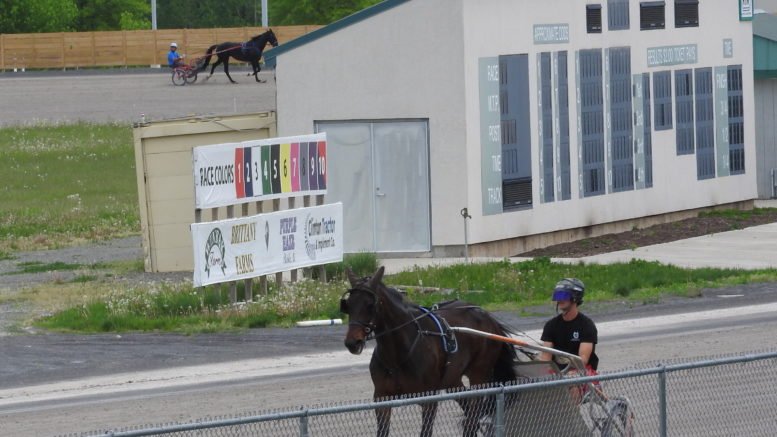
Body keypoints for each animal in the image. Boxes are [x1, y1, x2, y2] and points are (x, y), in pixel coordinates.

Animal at [342, 266, 520, 436]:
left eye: (370, 305)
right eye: (348, 305)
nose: (352, 342)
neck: (397, 357)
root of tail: (488, 317)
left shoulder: (429, 399)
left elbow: (426, 431)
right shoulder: (382, 398)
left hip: (479, 375)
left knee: (472, 418)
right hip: (452, 379)